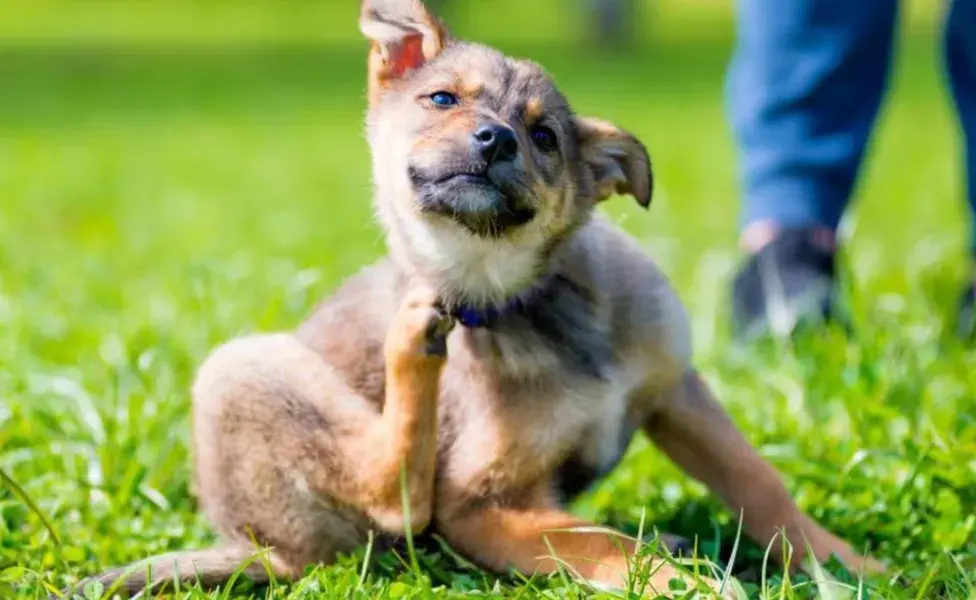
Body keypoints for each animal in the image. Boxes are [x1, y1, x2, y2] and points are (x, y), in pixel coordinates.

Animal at [70, 2, 884, 596]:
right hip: (241, 370)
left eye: (546, 136)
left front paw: (842, 561)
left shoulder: (676, 389)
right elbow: (599, 541)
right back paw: (412, 347)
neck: (524, 299)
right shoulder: (477, 504)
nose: (494, 140)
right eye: (442, 99)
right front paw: (680, 582)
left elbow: (759, 482)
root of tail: (255, 548)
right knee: (393, 495)